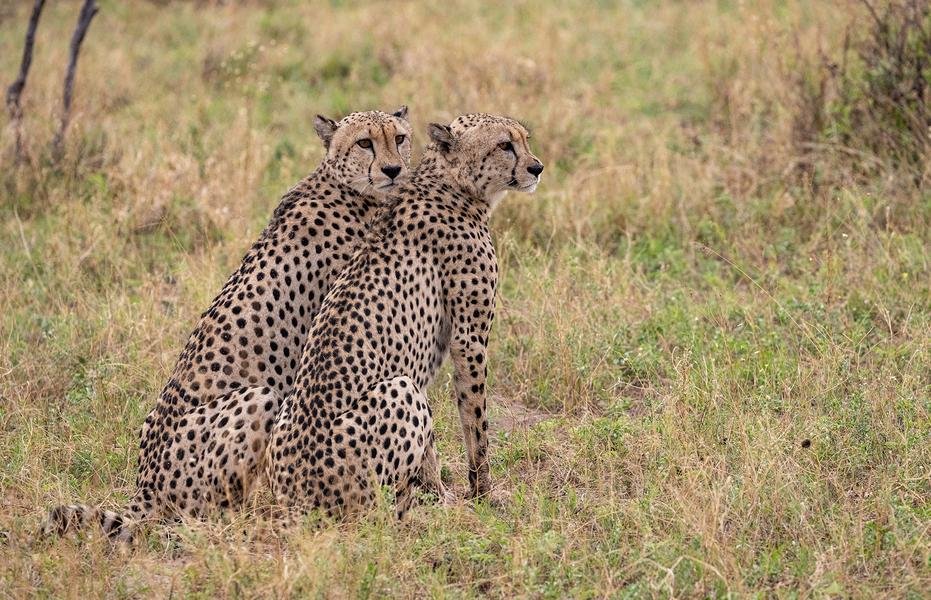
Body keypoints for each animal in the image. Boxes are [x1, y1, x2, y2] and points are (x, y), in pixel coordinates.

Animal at [42, 107, 414, 542]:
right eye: (364, 143)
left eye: (399, 138)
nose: (393, 169)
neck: (344, 185)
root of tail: (144, 485)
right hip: (258, 399)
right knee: (204, 514)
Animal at [265, 113, 544, 518]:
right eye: (504, 145)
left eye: (524, 140)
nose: (537, 167)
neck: (448, 183)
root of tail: (294, 494)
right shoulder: (469, 340)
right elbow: (476, 420)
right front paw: (482, 494)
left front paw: (441, 492)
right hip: (399, 391)